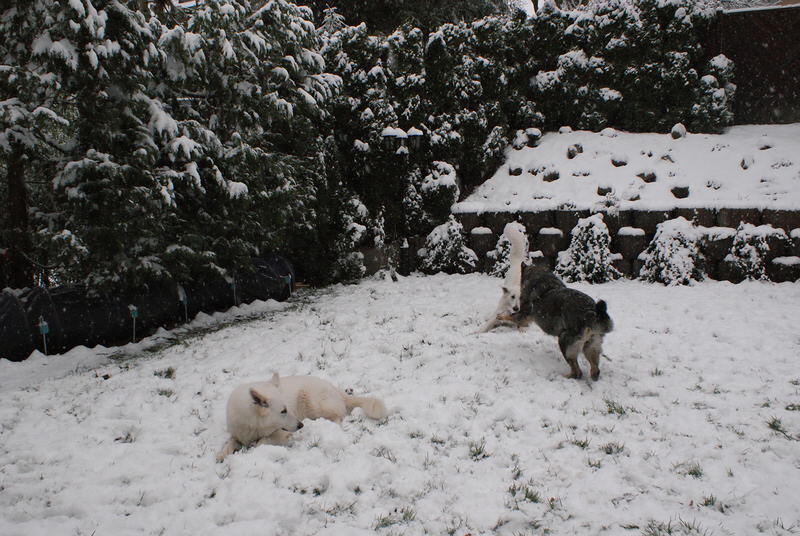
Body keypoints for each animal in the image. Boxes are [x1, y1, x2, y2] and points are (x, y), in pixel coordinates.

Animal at [216, 372, 387, 461]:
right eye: (283, 411)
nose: (301, 426)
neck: (253, 423)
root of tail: (336, 389)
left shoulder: (281, 433)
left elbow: (262, 442)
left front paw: (252, 448)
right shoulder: (239, 435)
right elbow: (229, 444)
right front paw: (222, 455)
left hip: (314, 403)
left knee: (338, 417)